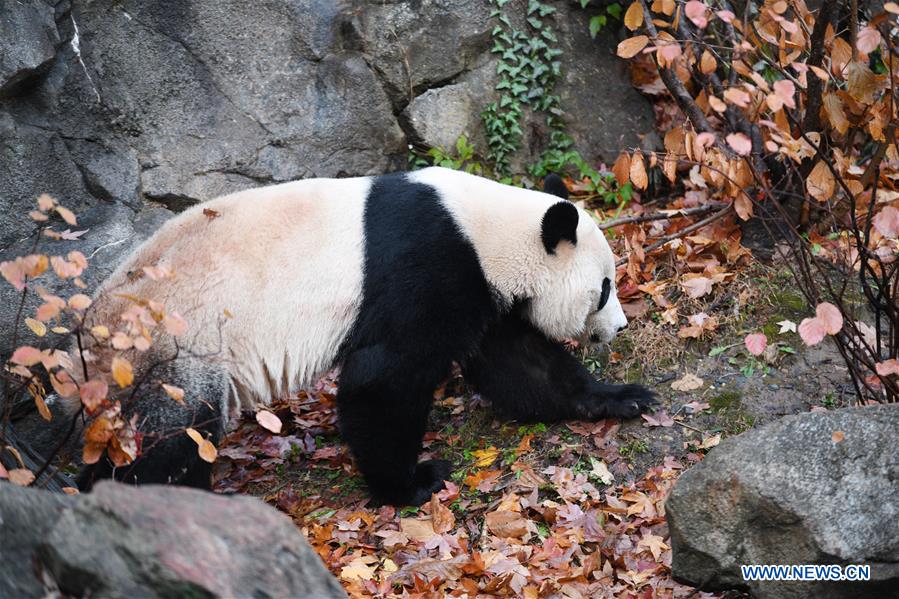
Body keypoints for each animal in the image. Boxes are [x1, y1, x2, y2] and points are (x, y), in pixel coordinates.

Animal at [68, 165, 652, 506]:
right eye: (604, 288)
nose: (621, 326)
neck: (485, 228)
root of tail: (85, 337)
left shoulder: (479, 286)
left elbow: (519, 362)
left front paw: (621, 398)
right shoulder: (427, 265)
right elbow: (382, 380)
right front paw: (413, 482)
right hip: (171, 352)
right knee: (168, 444)